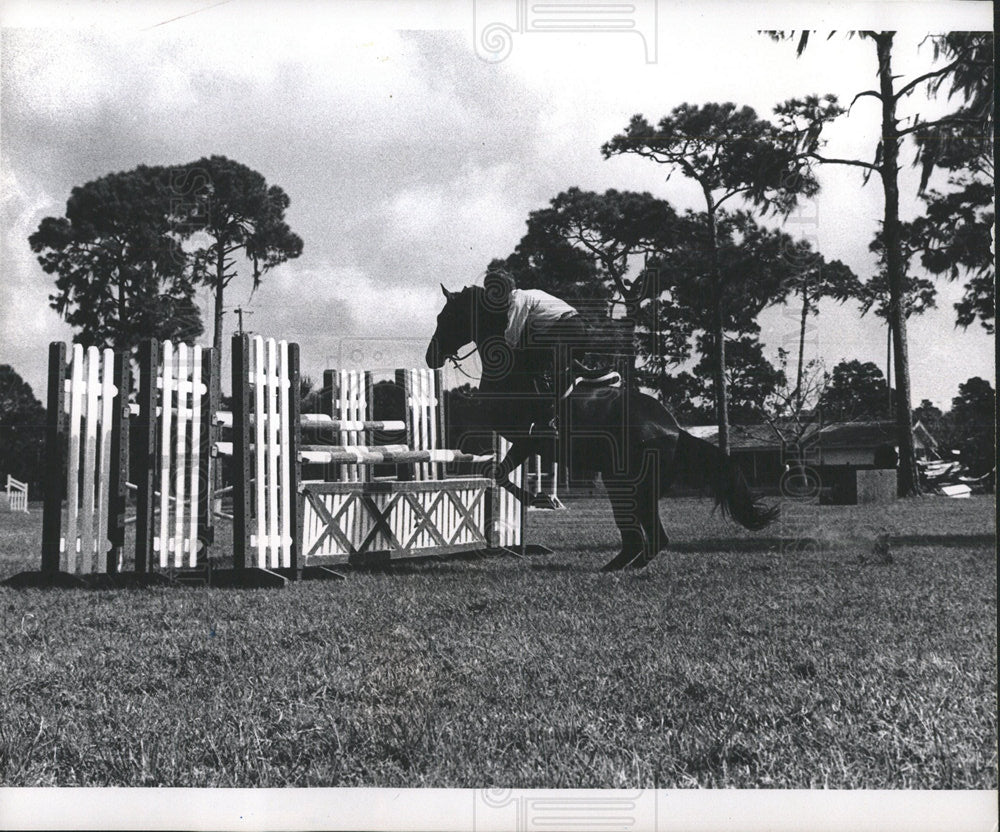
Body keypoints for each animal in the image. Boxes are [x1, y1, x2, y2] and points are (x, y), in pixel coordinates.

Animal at [424, 286, 780, 572]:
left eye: (446, 317)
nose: (430, 358)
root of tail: (677, 431)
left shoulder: (525, 437)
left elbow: (496, 467)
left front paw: (533, 496)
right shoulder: (524, 442)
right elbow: (497, 472)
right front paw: (533, 496)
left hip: (627, 484)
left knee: (649, 537)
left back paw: (617, 567)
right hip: (631, 486)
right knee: (646, 537)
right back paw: (619, 564)